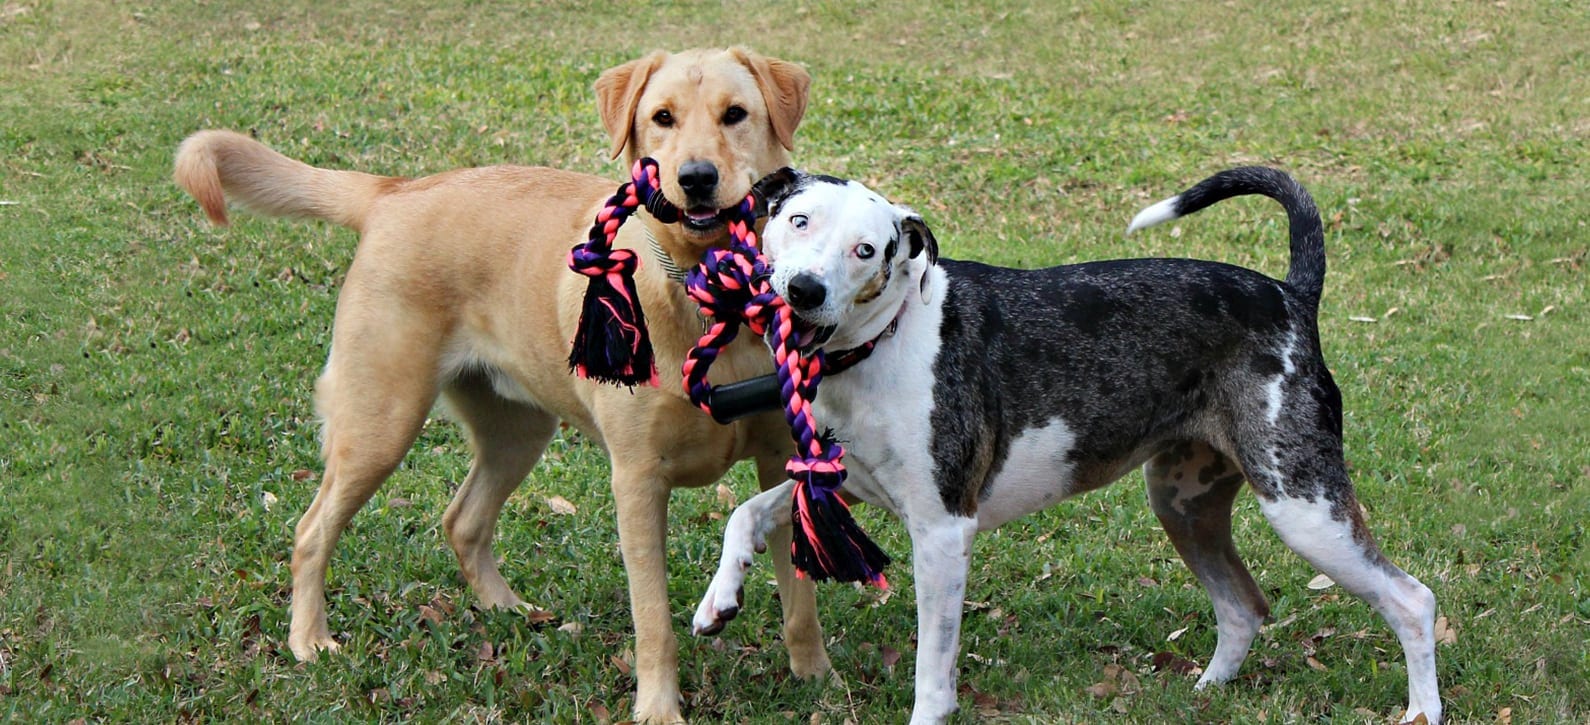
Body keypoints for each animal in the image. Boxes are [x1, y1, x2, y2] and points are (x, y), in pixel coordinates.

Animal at [170, 48, 820, 721]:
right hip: (380, 423)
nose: (694, 177)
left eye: (735, 114)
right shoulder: (638, 480)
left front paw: (814, 677)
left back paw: (510, 611)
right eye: (662, 117)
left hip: (517, 431)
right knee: (310, 531)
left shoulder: (783, 459)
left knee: (462, 522)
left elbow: (801, 598)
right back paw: (310, 639)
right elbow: (654, 621)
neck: (710, 297)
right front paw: (658, 707)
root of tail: (393, 192)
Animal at [693, 166, 1443, 721]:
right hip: (1185, 504)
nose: (804, 290)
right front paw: (719, 599)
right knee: (1242, 607)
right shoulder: (837, 482)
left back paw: (1421, 709)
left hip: (1304, 507)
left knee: (1412, 601)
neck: (884, 340)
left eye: (866, 250)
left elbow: (933, 669)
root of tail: (1291, 295)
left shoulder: (942, 531)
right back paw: (1204, 692)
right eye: (799, 221)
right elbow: (746, 513)